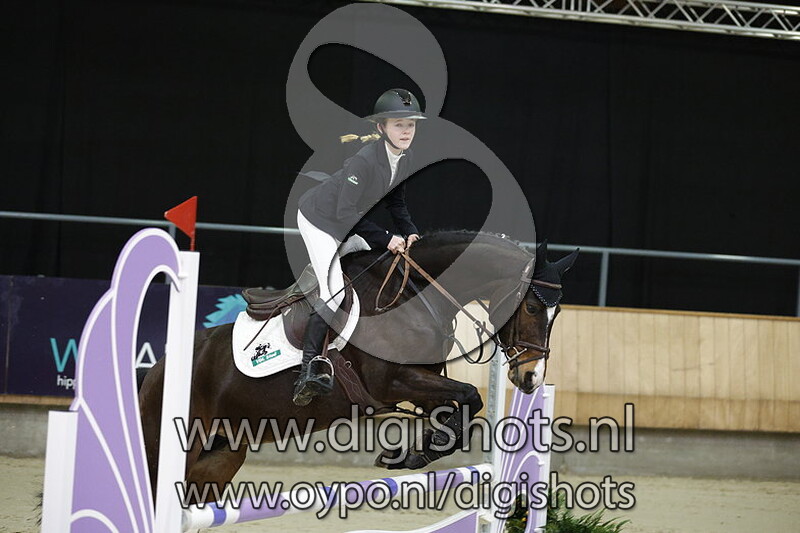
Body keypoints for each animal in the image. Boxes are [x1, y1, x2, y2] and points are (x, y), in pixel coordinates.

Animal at [138, 231, 578, 502]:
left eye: (558, 314)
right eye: (533, 307)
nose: (530, 377)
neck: (415, 295)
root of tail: (157, 369)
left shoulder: (424, 383)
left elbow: (461, 408)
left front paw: (410, 454)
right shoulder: (393, 382)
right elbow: (469, 396)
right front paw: (414, 452)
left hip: (220, 456)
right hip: (169, 446)